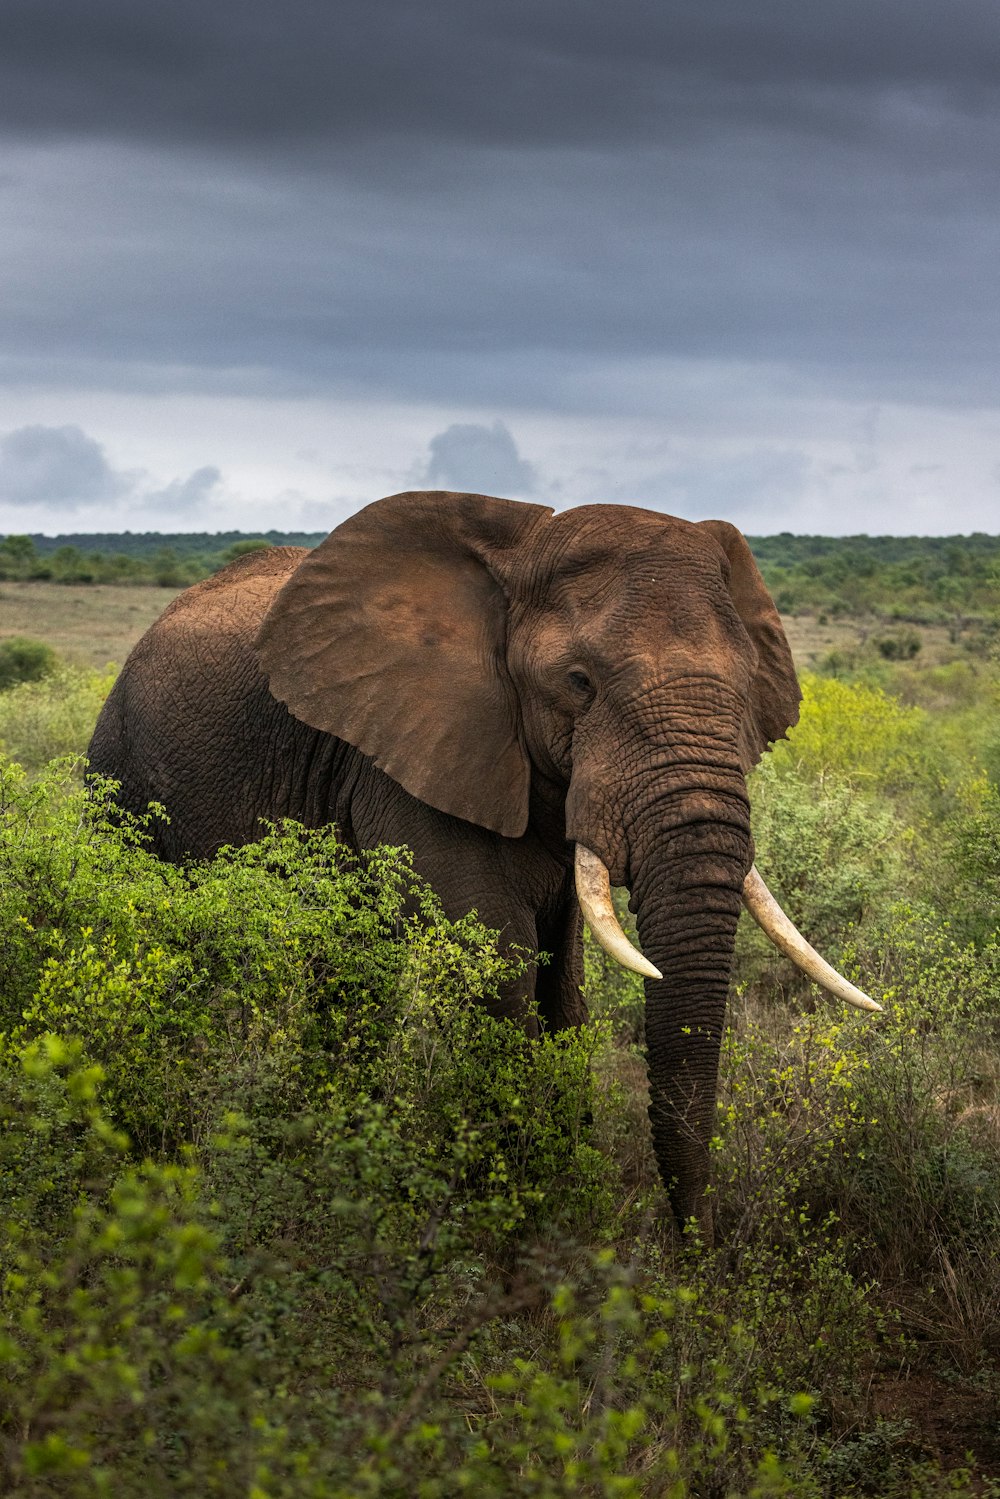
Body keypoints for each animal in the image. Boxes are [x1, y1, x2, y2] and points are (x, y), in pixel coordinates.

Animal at [89, 491, 881, 1241]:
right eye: (579, 682)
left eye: (747, 689)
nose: (699, 1257)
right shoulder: (407, 751)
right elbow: (500, 962)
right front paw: (510, 1226)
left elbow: (562, 982)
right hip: (121, 773)